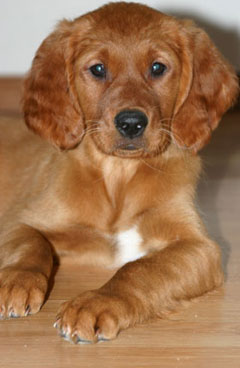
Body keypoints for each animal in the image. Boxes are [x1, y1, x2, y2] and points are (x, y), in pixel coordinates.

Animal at [0, 2, 238, 344]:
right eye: (98, 69)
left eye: (157, 68)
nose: (131, 123)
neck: (118, 177)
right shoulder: (19, 219)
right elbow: (30, 245)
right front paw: (15, 281)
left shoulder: (200, 247)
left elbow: (140, 269)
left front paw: (96, 304)